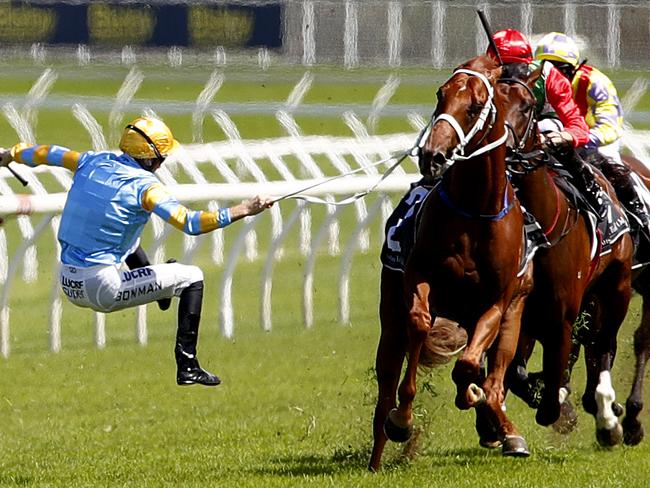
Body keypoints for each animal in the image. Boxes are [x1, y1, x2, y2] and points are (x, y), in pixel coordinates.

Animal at [370, 55, 532, 470]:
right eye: (440, 94)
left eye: (474, 105)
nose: (432, 155)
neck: (476, 209)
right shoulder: (418, 275)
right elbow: (419, 323)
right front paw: (402, 420)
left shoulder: (499, 300)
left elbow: (471, 366)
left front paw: (476, 399)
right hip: (389, 318)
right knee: (386, 384)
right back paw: (377, 455)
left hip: (513, 312)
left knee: (494, 369)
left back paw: (505, 428)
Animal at [488, 74, 632, 448]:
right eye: (490, 104)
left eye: (526, 105)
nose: (504, 149)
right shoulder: (523, 309)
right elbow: (521, 372)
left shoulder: (563, 312)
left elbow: (556, 379)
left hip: (617, 287)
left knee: (603, 344)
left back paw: (607, 416)